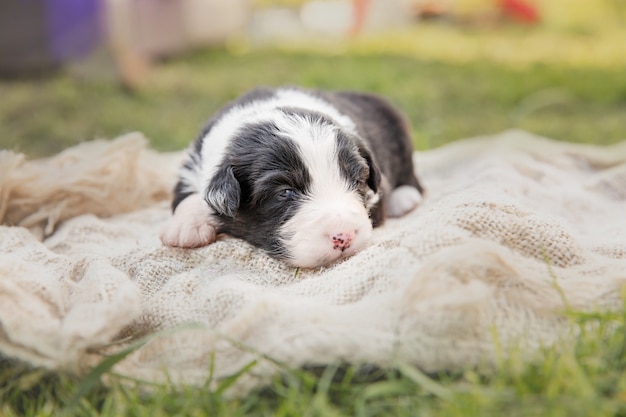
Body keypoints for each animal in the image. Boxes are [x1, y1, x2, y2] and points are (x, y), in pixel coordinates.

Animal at [160, 87, 424, 266]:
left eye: (356, 181)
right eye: (285, 193)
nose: (344, 237)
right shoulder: (194, 161)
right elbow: (190, 195)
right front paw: (186, 228)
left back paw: (405, 198)